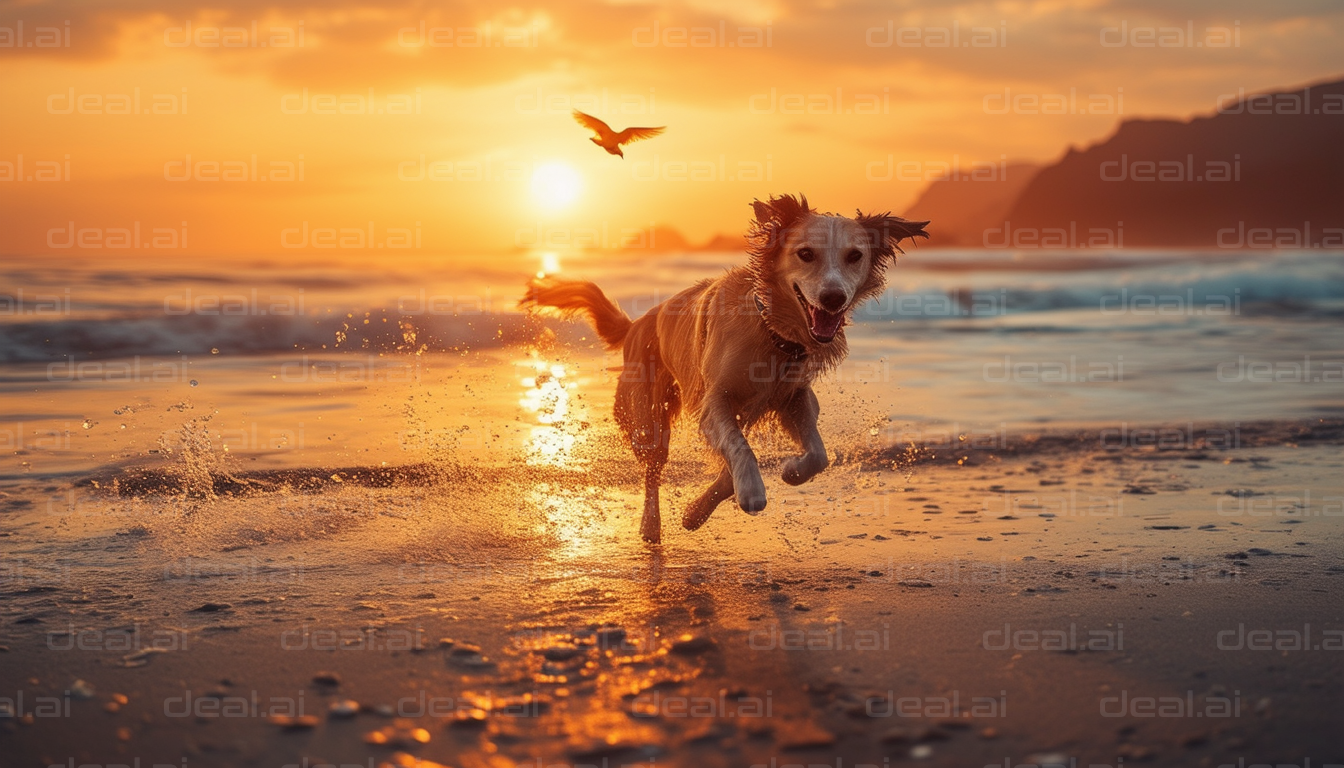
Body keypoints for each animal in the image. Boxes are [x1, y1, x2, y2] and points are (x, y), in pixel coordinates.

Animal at [518, 197, 930, 546]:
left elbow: (818, 455)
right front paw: (751, 491)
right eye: (805, 254)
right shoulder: (714, 398)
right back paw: (651, 527)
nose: (833, 298)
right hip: (648, 416)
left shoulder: (794, 396)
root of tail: (637, 324)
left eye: (854, 256)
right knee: (652, 470)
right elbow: (738, 448)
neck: (772, 334)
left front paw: (786, 473)